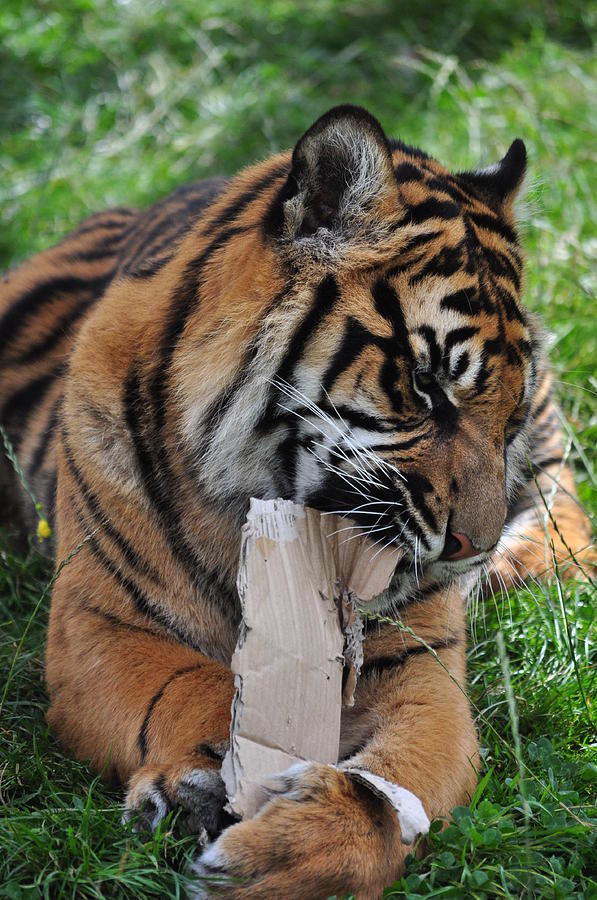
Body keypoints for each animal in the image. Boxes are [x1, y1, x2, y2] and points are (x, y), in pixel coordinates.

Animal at [0, 107, 592, 900]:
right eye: (426, 385)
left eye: (509, 410)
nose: (471, 548)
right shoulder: (95, 629)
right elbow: (201, 683)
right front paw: (198, 783)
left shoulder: (422, 671)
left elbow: (399, 778)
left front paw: (296, 851)